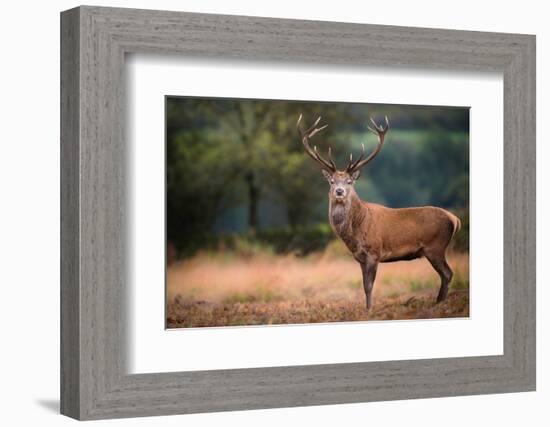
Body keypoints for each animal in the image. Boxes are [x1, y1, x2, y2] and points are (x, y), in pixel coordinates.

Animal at [298, 115, 462, 312]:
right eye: (331, 181)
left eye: (349, 182)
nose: (339, 191)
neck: (355, 232)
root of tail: (455, 219)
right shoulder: (360, 258)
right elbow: (363, 285)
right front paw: (366, 309)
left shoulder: (374, 252)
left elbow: (369, 286)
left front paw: (369, 310)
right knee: (446, 274)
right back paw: (438, 303)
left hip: (435, 246)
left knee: (447, 273)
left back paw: (439, 304)